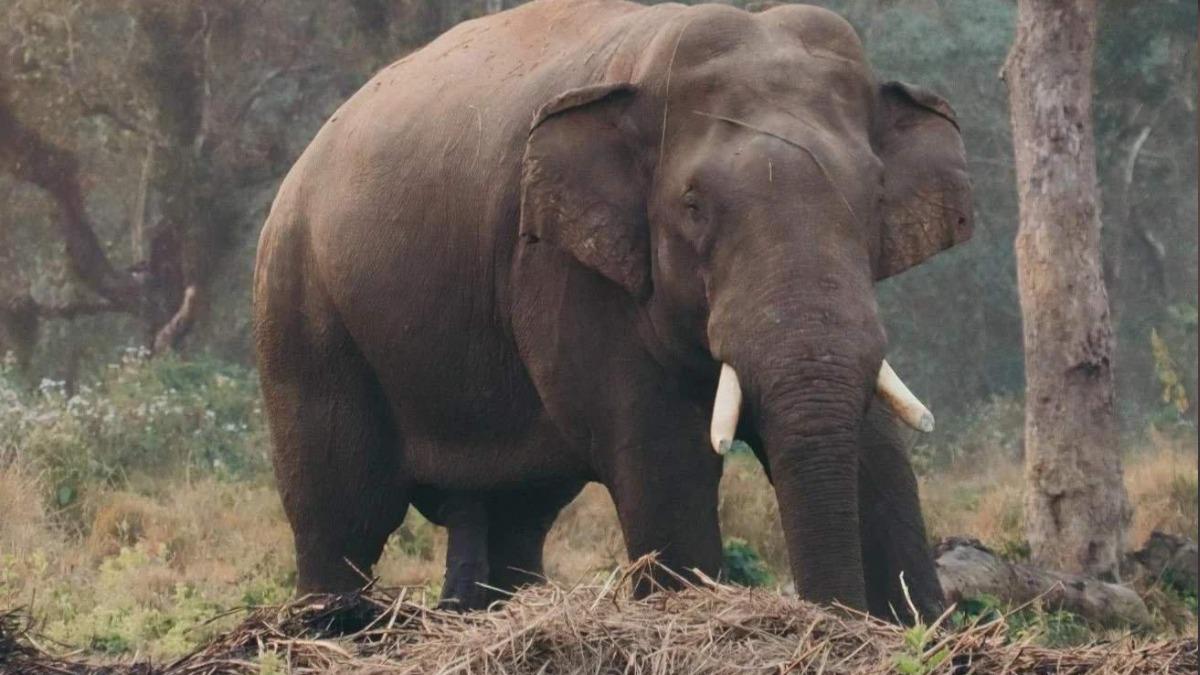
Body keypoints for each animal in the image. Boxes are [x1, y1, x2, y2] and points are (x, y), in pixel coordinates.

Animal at [253, 0, 972, 621]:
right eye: (692, 205)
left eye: (874, 193)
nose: (833, 613)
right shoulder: (564, 267)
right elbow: (663, 456)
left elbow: (878, 448)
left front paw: (912, 623)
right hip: (302, 312)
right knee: (344, 512)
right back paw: (331, 624)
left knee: (514, 513)